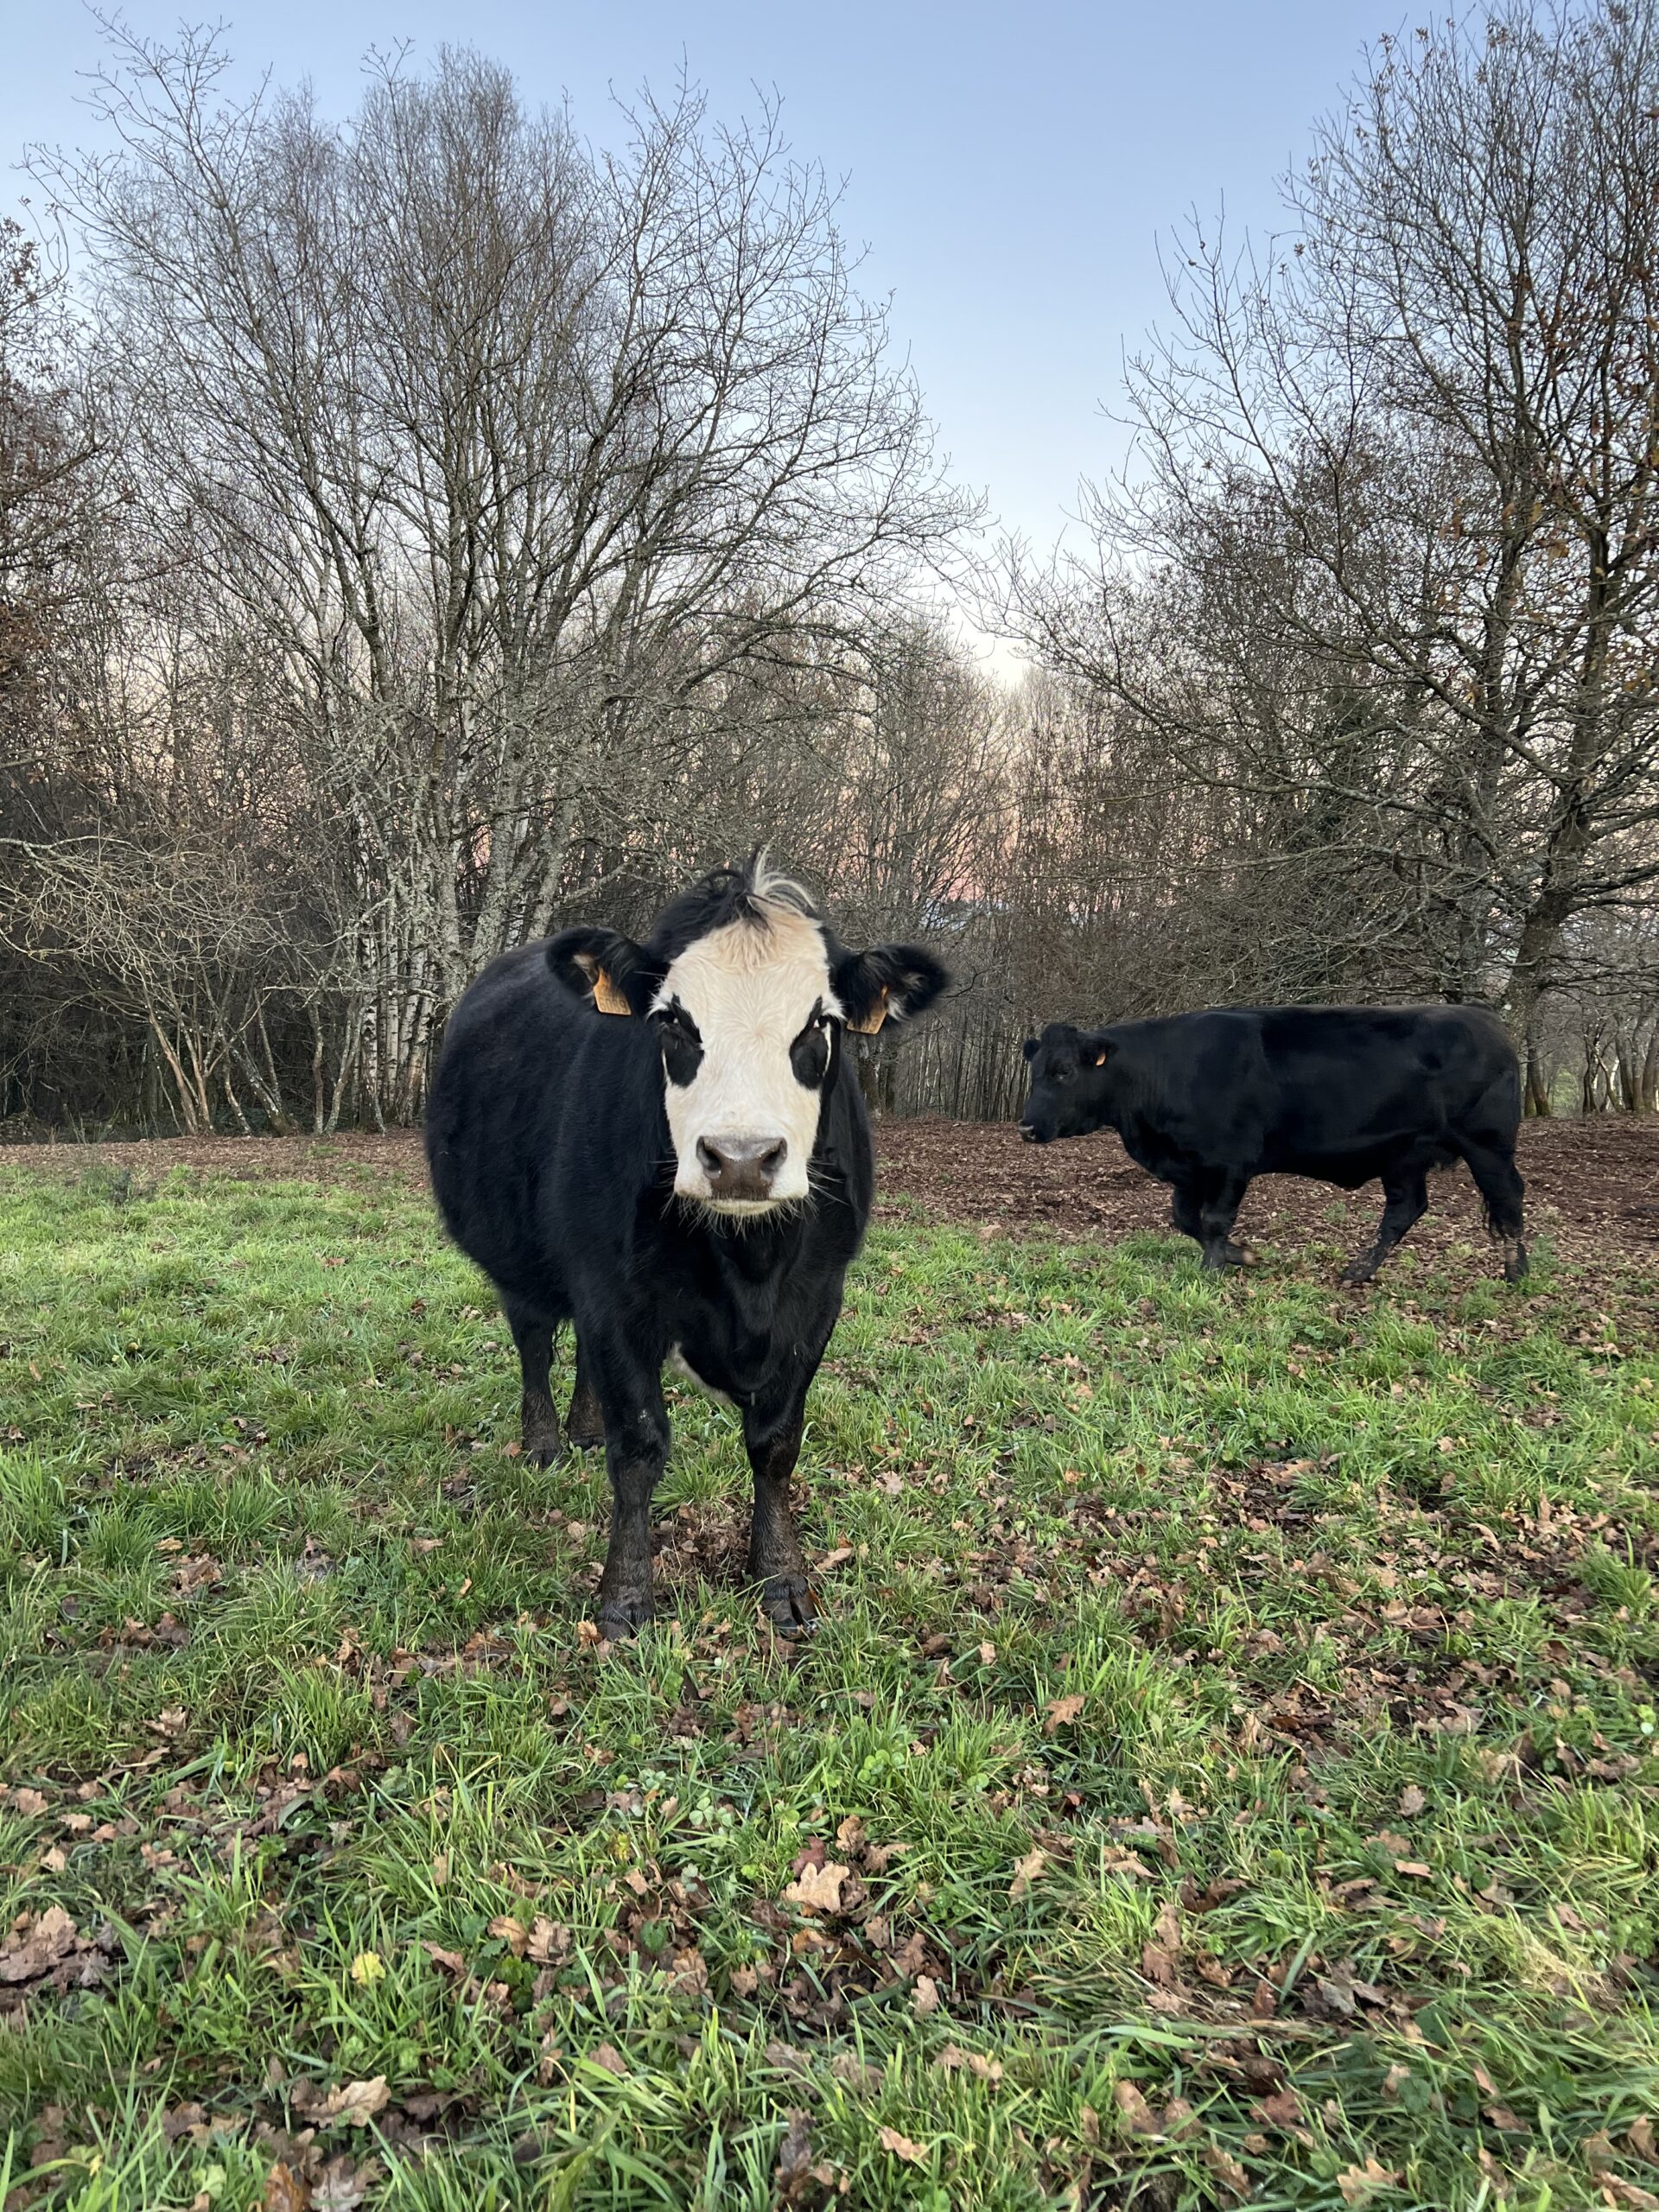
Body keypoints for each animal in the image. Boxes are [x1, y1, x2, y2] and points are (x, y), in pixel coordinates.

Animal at [425, 857, 948, 1640]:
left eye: (820, 1024)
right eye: (672, 1021)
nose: (741, 1158)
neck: (749, 1270)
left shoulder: (818, 1300)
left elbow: (776, 1444)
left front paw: (781, 1577)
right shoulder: (614, 1293)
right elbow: (639, 1449)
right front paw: (625, 1595)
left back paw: (582, 1426)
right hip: (523, 1258)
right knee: (536, 1342)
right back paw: (546, 1440)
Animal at [1018, 1003, 1527, 1284]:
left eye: (1064, 1071)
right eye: (1035, 1070)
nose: (1026, 1127)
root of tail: (1486, 1019)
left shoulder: (1229, 1163)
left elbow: (1214, 1220)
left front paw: (1215, 1267)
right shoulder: (1188, 1168)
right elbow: (1184, 1219)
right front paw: (1239, 1254)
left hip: (1487, 1145)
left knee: (1508, 1202)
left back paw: (1516, 1271)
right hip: (1404, 1155)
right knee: (1405, 1210)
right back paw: (1360, 1269)